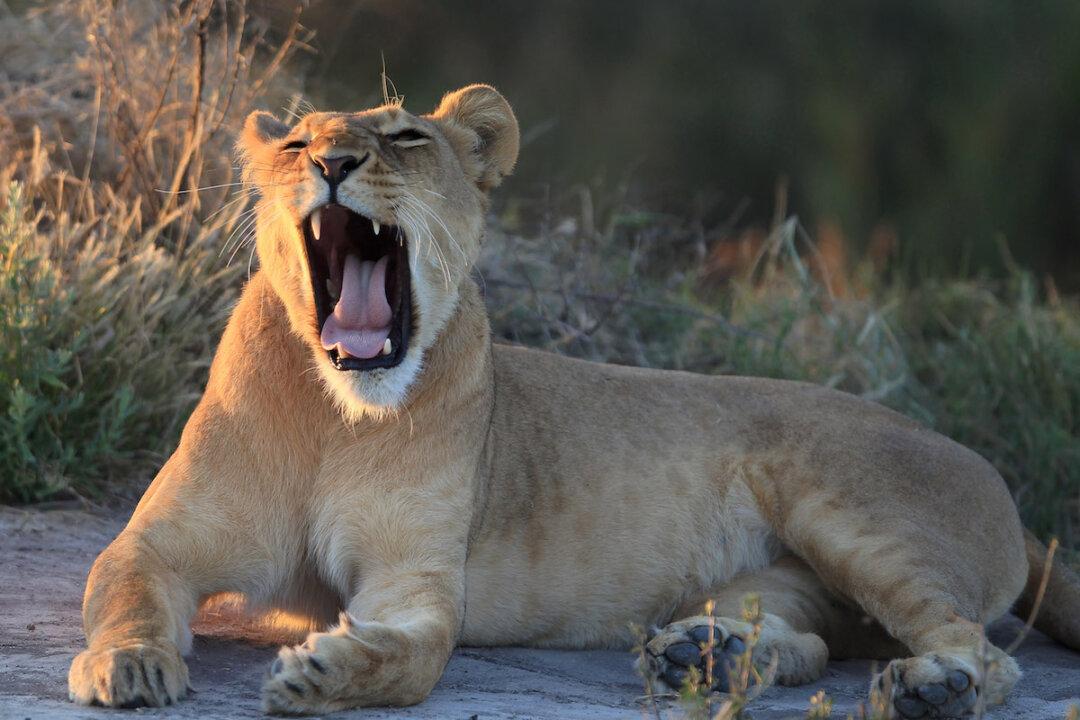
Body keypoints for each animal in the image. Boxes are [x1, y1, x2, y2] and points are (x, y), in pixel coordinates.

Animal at [68, 85, 1080, 718]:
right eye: (291, 142)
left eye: (405, 138)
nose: (335, 161)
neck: (335, 412)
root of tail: (996, 480)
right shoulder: (159, 539)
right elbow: (122, 586)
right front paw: (130, 664)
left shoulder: (415, 580)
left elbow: (410, 657)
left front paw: (326, 672)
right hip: (787, 577)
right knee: (819, 642)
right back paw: (706, 655)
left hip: (851, 511)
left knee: (983, 650)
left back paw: (930, 689)